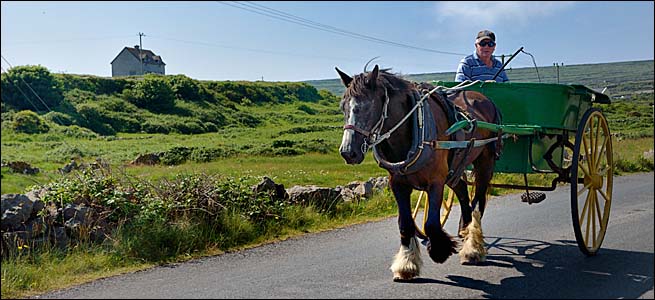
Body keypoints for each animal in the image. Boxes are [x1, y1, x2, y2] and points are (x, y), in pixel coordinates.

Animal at [336, 63, 500, 282]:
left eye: (369, 105)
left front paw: (439, 251)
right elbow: (405, 224)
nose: (348, 152)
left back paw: (472, 247)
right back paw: (465, 235)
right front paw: (407, 264)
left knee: (477, 203)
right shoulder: (397, 184)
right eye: (343, 107)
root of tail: (483, 98)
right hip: (456, 167)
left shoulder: (436, 181)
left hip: (485, 162)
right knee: (464, 196)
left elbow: (431, 224)